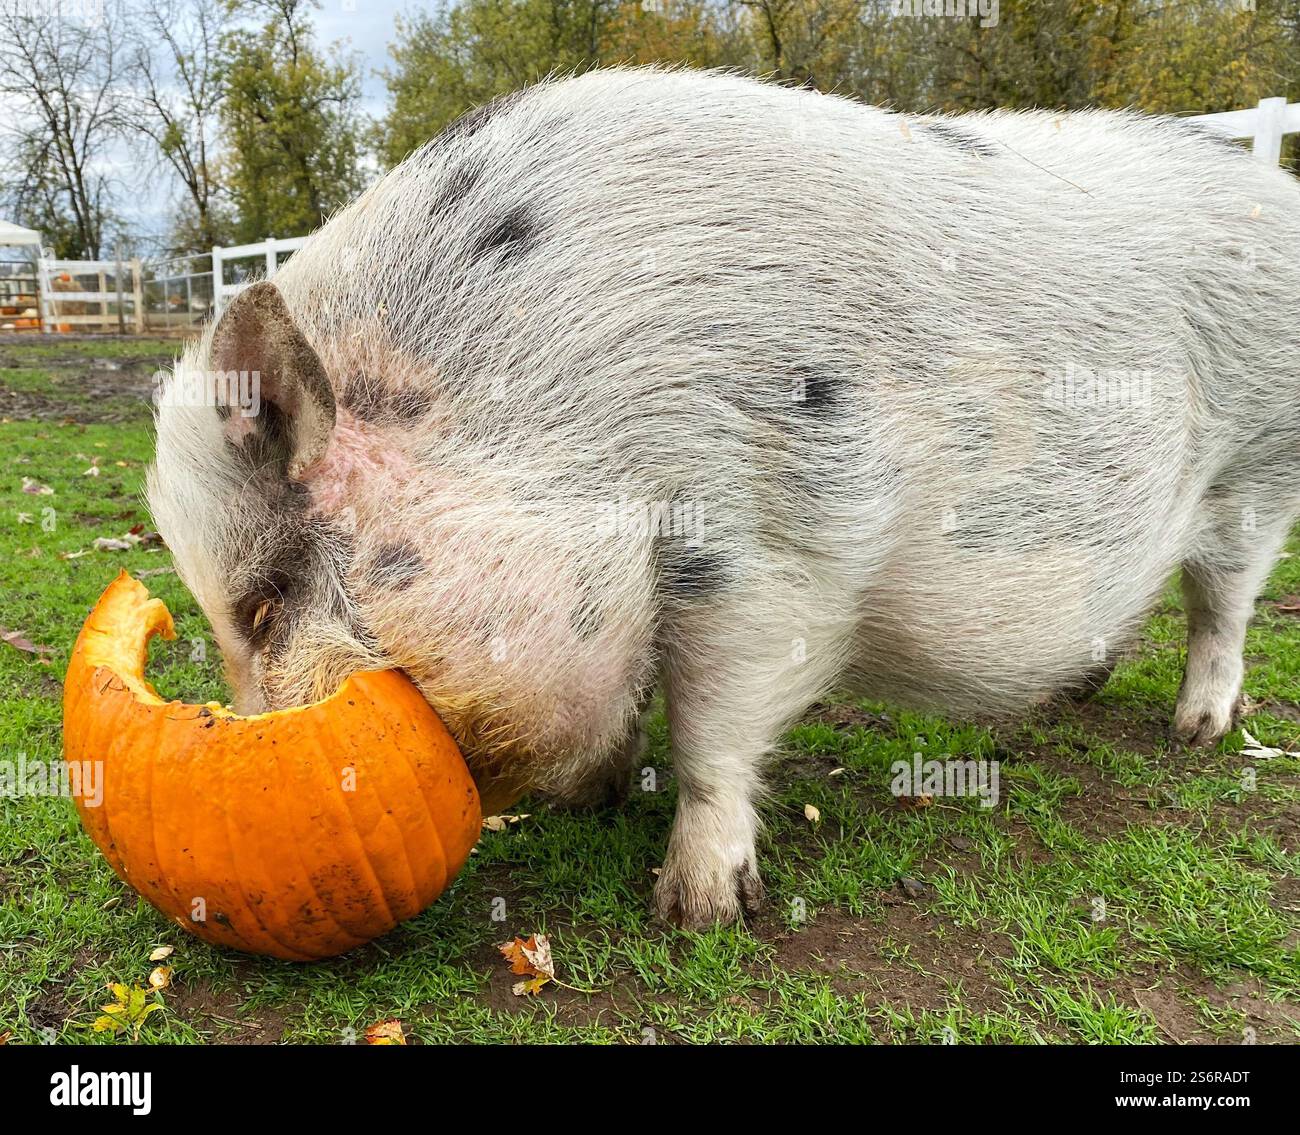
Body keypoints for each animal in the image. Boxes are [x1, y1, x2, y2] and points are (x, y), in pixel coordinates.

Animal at [148, 67, 1300, 929]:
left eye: (263, 599)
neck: (559, 413)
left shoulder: (768, 551)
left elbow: (715, 727)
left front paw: (696, 910)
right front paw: (602, 799)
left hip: (1259, 468)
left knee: (1224, 601)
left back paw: (1197, 734)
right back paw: (1077, 696)